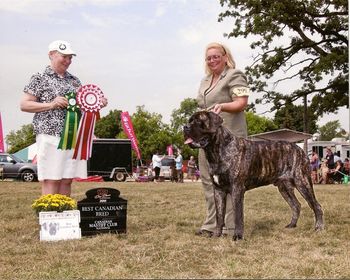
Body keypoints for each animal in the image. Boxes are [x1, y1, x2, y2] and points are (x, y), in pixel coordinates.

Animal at [185, 111, 324, 241]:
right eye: (189, 120)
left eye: (198, 121)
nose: (185, 127)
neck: (216, 151)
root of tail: (299, 149)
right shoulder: (218, 190)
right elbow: (219, 216)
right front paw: (216, 235)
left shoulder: (237, 189)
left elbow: (238, 215)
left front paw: (238, 236)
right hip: (284, 187)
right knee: (296, 205)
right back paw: (292, 225)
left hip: (302, 182)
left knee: (316, 205)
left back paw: (318, 227)